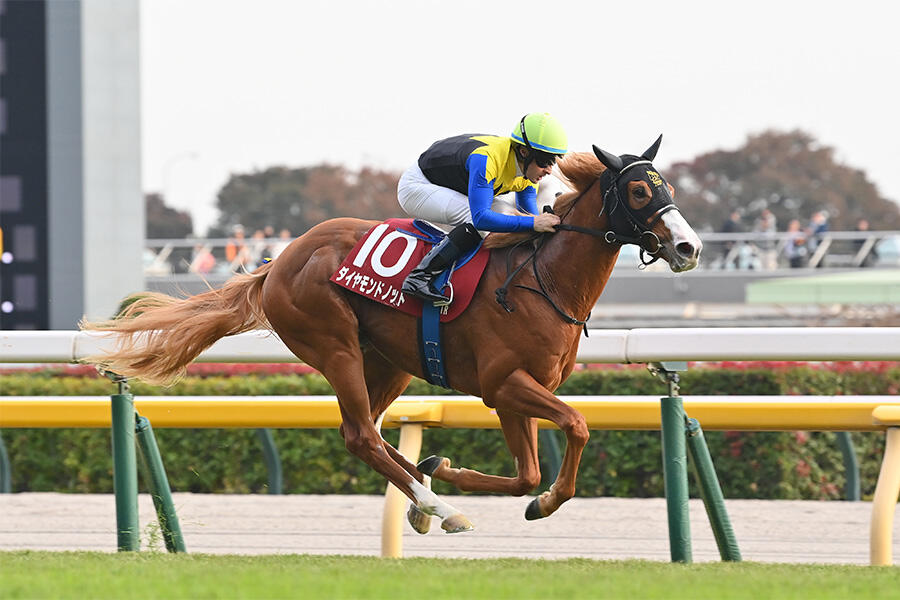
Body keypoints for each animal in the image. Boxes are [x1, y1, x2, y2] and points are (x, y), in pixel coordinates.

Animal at [81, 136, 702, 534]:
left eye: (666, 185)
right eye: (640, 192)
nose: (689, 247)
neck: (541, 280)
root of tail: (279, 262)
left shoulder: (514, 393)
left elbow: (527, 473)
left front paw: (453, 472)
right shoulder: (504, 384)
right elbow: (575, 425)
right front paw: (534, 502)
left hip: (389, 362)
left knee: (369, 434)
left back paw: (425, 498)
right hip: (333, 346)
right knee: (361, 436)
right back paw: (440, 507)